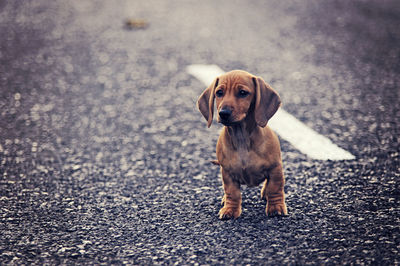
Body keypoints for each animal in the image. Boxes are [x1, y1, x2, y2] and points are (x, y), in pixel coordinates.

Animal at [195, 69, 286, 219]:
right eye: (219, 93)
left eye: (243, 93)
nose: (223, 113)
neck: (241, 137)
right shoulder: (227, 173)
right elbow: (232, 193)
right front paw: (230, 209)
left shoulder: (275, 169)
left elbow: (275, 188)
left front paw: (276, 207)